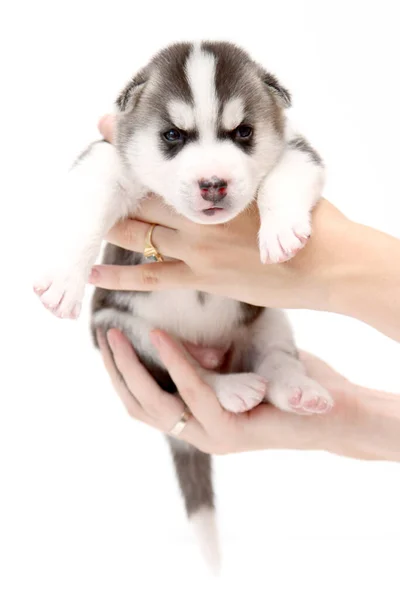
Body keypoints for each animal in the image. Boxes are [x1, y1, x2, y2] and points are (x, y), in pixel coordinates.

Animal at [34, 41, 332, 568]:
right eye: (173, 135)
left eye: (243, 133)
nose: (213, 183)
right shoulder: (106, 158)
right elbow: (85, 210)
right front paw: (63, 279)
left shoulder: (298, 147)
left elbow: (285, 178)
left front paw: (281, 231)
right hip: (120, 330)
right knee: (185, 377)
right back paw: (230, 388)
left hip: (269, 319)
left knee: (274, 365)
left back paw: (296, 391)